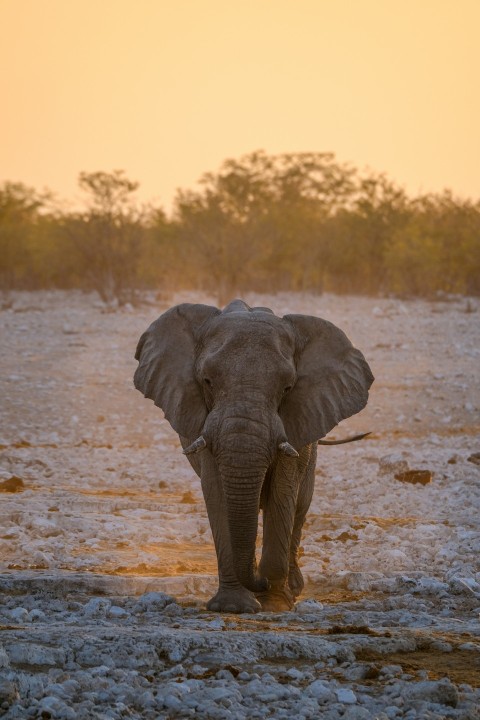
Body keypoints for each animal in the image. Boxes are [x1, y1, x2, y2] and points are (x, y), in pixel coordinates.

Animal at [133, 298, 374, 612]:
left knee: (300, 505)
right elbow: (216, 492)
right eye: (207, 381)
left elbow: (283, 492)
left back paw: (292, 588)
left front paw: (274, 602)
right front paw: (234, 606)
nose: (262, 581)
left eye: (287, 388)